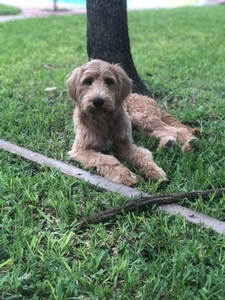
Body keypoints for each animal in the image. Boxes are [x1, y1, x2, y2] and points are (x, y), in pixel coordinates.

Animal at [67, 59, 199, 185]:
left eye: (109, 81)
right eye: (88, 81)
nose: (98, 101)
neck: (102, 119)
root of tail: (147, 98)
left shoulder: (124, 142)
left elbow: (140, 154)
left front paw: (153, 170)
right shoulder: (80, 149)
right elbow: (105, 159)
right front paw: (124, 176)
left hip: (141, 118)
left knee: (176, 130)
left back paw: (190, 143)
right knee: (158, 132)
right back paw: (167, 143)